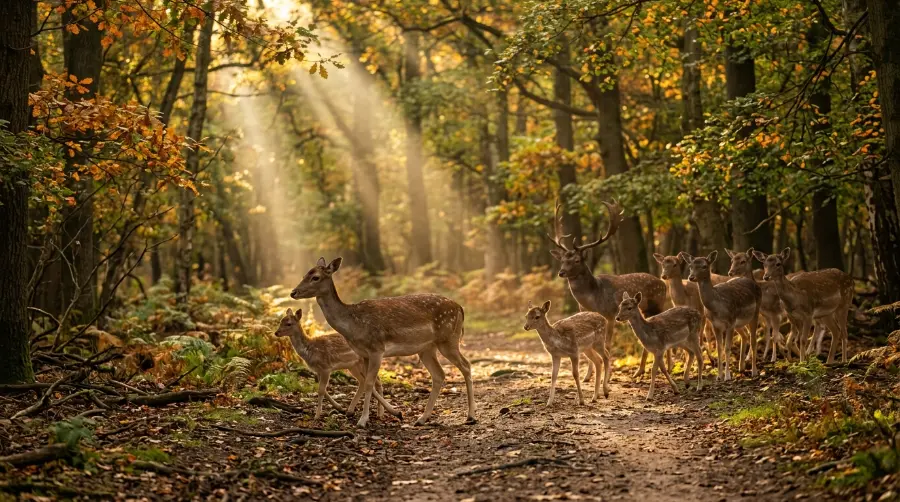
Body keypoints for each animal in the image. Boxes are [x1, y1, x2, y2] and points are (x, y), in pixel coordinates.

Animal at [290, 257, 475, 427]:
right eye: (304, 275)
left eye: (315, 277)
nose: (293, 292)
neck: (353, 325)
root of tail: (460, 308)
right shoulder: (363, 353)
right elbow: (368, 383)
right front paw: (395, 413)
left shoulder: (377, 348)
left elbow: (369, 383)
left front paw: (363, 420)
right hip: (426, 348)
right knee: (439, 375)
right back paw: (422, 419)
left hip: (448, 339)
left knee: (466, 365)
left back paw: (470, 416)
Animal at [548, 201, 668, 382]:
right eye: (562, 259)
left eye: (576, 260)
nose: (561, 272)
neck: (594, 298)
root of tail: (664, 284)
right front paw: (587, 376)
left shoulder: (610, 315)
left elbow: (608, 345)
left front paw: (608, 376)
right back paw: (640, 371)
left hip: (658, 304)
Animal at [682, 251, 762, 380]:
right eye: (691, 266)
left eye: (704, 266)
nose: (691, 277)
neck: (717, 306)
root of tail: (754, 282)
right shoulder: (716, 324)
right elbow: (719, 348)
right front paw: (719, 376)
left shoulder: (730, 322)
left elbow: (727, 347)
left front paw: (727, 376)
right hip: (739, 323)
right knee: (745, 335)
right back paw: (741, 367)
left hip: (755, 312)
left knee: (753, 340)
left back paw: (754, 371)